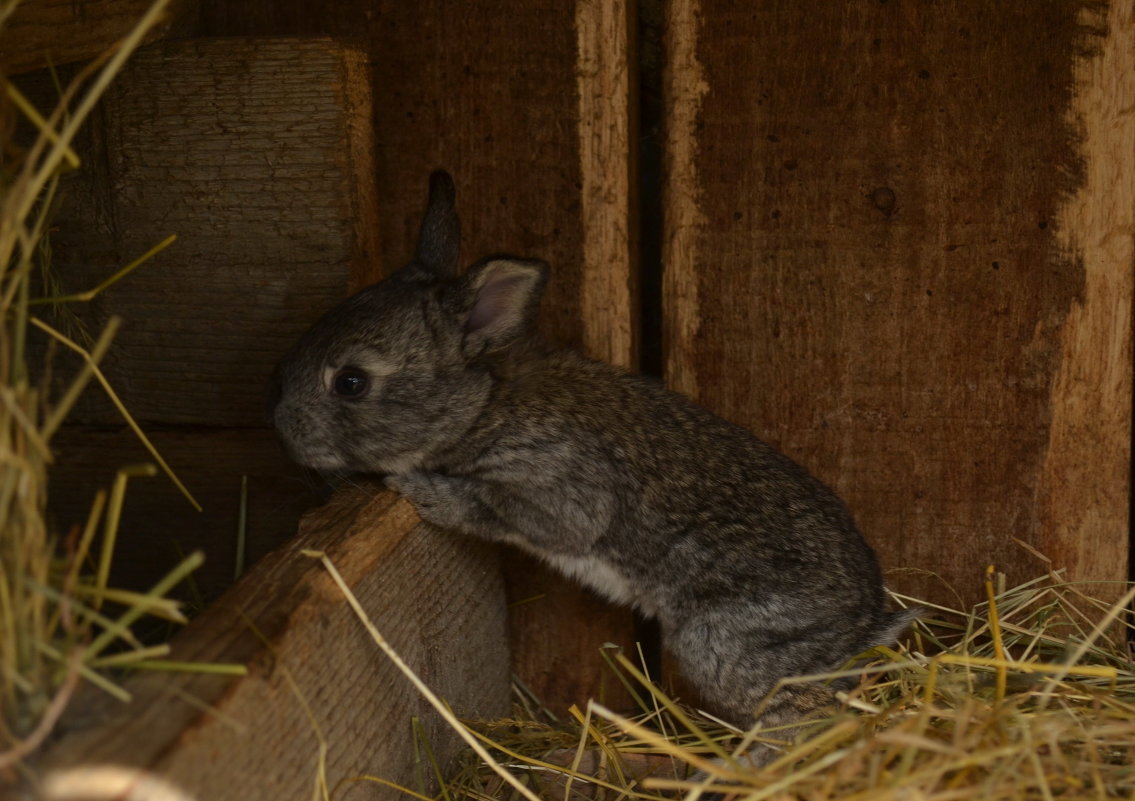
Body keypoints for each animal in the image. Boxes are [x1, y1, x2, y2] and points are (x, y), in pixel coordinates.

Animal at [270, 170, 917, 744]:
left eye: (351, 382)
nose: (281, 429)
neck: (485, 402)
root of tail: (865, 626)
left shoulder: (556, 484)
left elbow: (500, 507)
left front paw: (414, 487)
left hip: (726, 642)